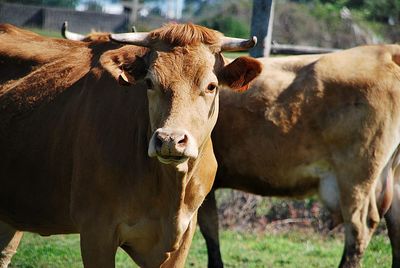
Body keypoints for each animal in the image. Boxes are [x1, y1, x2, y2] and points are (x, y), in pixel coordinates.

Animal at [0, 24, 262, 266]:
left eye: (211, 86)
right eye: (149, 82)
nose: (170, 139)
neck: (168, 189)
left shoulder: (184, 236)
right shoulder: (96, 232)